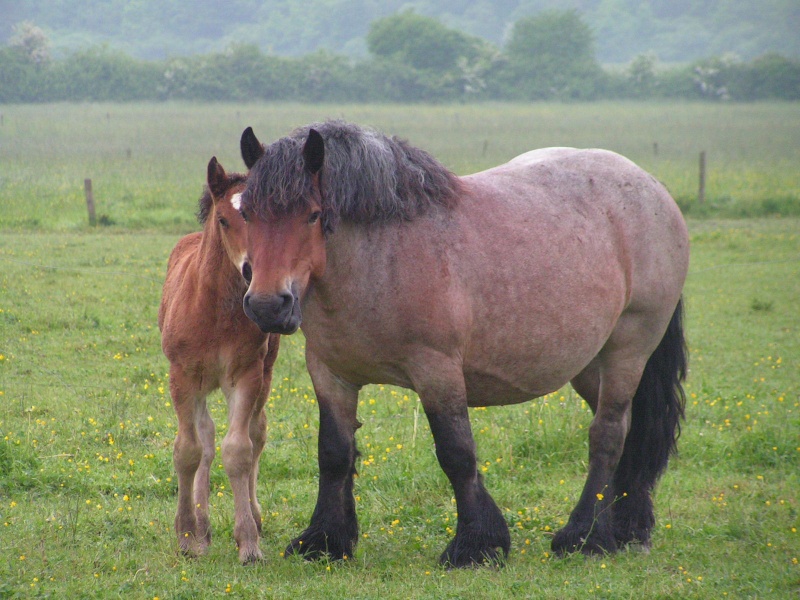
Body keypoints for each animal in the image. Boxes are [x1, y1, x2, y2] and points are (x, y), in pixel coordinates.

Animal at [158, 155, 280, 564]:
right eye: (224, 220)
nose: (252, 271)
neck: (214, 310)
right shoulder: (181, 376)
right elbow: (189, 450)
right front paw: (186, 536)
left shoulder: (245, 375)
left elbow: (239, 450)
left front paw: (249, 543)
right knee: (206, 438)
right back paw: (203, 526)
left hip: (265, 372)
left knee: (256, 432)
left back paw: (252, 517)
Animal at [238, 122, 688, 568]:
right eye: (246, 213)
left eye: (313, 215)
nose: (267, 305)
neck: (380, 258)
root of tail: (653, 188)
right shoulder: (330, 373)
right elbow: (333, 453)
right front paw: (325, 540)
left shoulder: (437, 370)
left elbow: (457, 453)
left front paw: (476, 543)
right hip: (590, 364)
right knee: (629, 432)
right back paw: (626, 528)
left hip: (627, 351)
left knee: (608, 435)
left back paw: (585, 536)